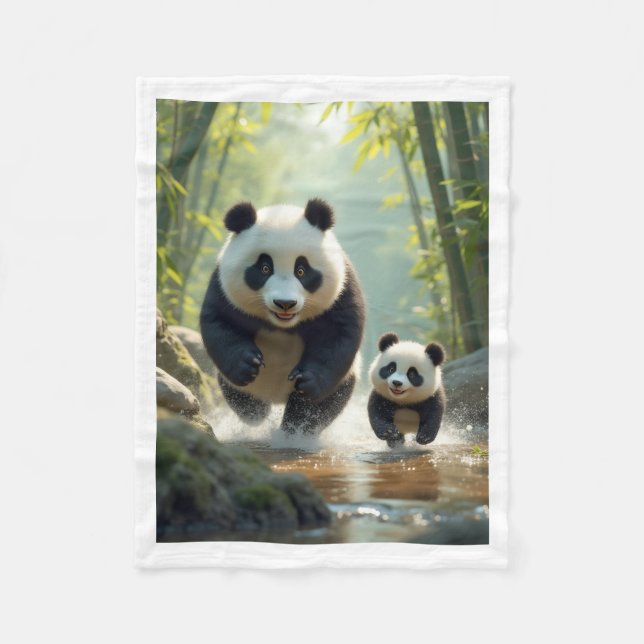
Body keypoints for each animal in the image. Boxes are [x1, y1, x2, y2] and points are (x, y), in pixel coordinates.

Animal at [200, 199, 366, 435]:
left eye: (301, 271)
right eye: (265, 268)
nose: (285, 303)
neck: (282, 324)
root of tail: (276, 397)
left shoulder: (342, 288)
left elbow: (338, 333)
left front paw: (307, 379)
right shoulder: (222, 285)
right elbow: (221, 322)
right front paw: (247, 363)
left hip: (344, 378)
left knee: (316, 405)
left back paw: (295, 429)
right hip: (240, 385)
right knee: (243, 399)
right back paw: (256, 413)